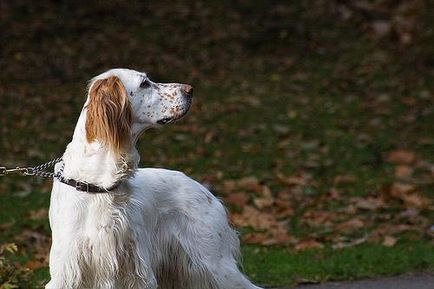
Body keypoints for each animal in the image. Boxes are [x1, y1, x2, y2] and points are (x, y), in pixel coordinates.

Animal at [45, 68, 262, 288]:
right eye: (145, 84)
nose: (190, 89)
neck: (97, 183)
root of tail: (207, 192)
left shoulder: (137, 272)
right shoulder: (66, 272)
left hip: (216, 263)